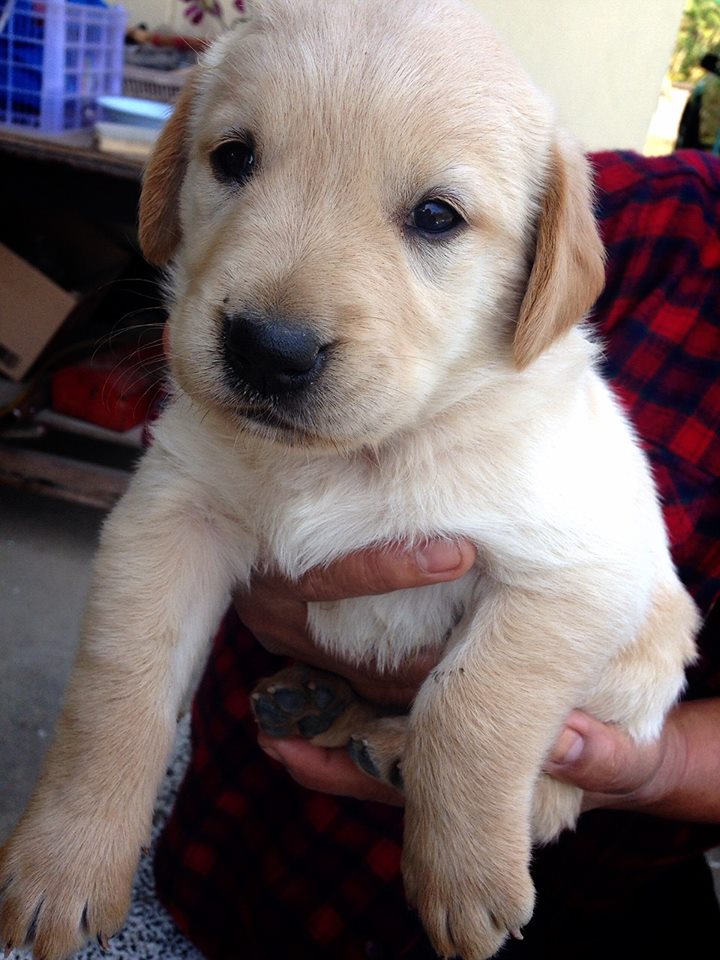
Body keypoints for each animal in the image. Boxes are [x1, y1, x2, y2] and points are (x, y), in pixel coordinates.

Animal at [0, 1, 699, 958]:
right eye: (234, 158)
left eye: (437, 216)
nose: (268, 350)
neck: (359, 452)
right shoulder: (170, 513)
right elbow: (117, 690)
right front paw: (63, 863)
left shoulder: (576, 572)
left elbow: (471, 709)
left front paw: (466, 878)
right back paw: (314, 700)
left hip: (652, 649)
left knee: (579, 773)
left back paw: (404, 751)